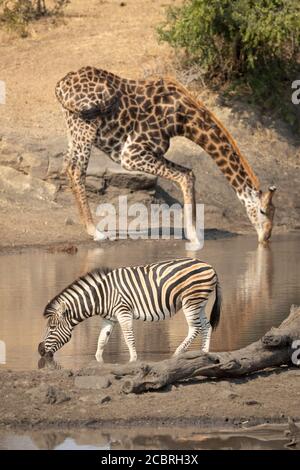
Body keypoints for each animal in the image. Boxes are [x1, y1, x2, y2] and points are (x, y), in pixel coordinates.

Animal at [38, 258, 220, 364]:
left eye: (52, 328)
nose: (39, 350)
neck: (101, 295)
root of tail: (209, 265)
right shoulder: (109, 318)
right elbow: (101, 340)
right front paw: (98, 359)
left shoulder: (123, 311)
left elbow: (128, 337)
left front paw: (133, 359)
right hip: (200, 302)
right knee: (207, 326)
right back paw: (204, 353)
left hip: (190, 301)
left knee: (195, 328)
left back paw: (176, 354)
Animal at [55, 67, 276, 250]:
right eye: (262, 211)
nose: (266, 237)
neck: (184, 120)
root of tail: (60, 85)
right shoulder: (131, 154)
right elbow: (183, 176)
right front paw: (194, 237)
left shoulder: (152, 153)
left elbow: (189, 174)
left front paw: (193, 235)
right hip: (86, 124)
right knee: (77, 169)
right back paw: (96, 232)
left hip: (72, 125)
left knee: (67, 166)